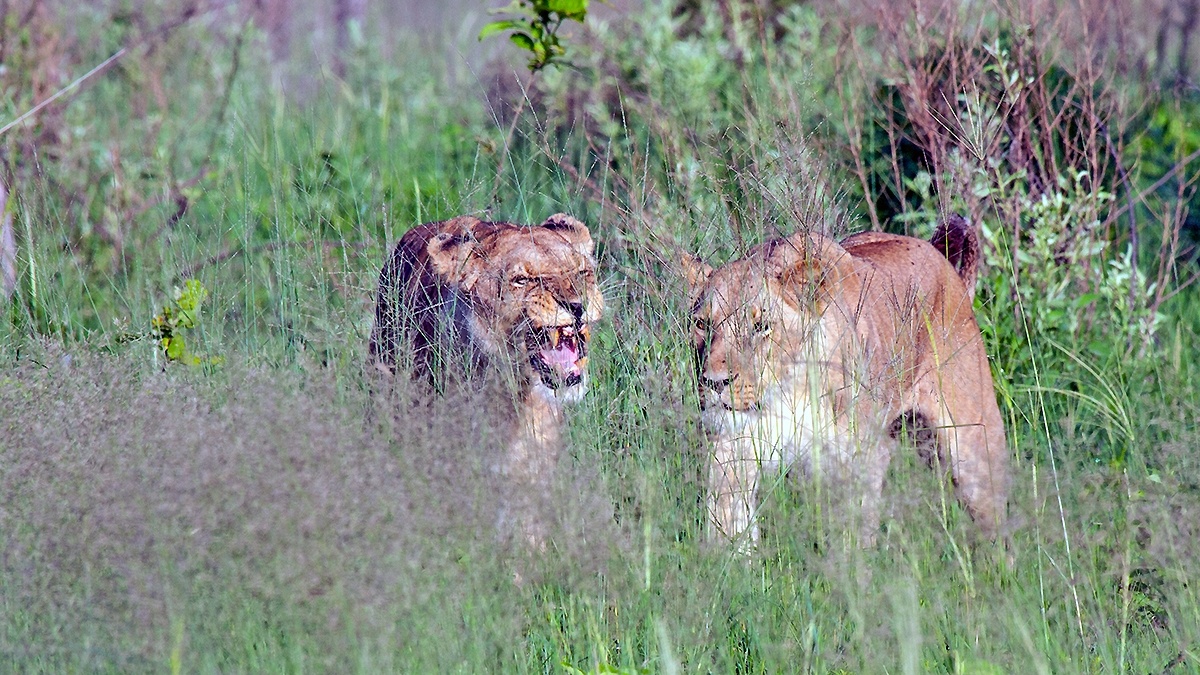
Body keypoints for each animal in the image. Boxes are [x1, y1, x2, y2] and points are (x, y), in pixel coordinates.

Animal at [685, 216, 1009, 551]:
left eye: (760, 326)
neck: (787, 393)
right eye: (701, 324)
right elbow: (728, 534)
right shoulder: (730, 455)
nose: (714, 382)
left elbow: (850, 544)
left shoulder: (857, 467)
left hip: (973, 453)